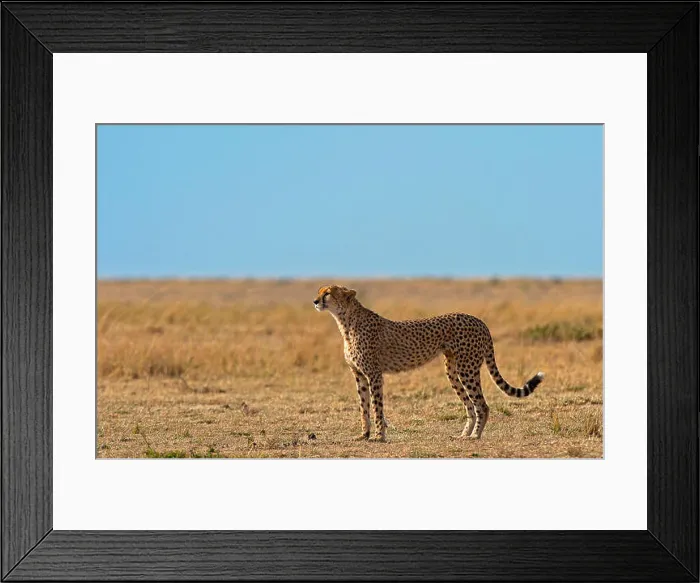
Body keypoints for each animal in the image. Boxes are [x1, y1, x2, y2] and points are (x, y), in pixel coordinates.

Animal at [314, 284, 544, 442]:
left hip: (467, 368)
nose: (315, 301)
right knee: (470, 404)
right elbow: (364, 407)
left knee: (482, 405)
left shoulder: (374, 375)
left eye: (328, 293)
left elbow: (377, 407)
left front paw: (379, 436)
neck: (346, 321)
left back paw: (475, 436)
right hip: (452, 371)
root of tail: (479, 321)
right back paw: (463, 435)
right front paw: (363, 435)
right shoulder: (359, 375)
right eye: (320, 291)